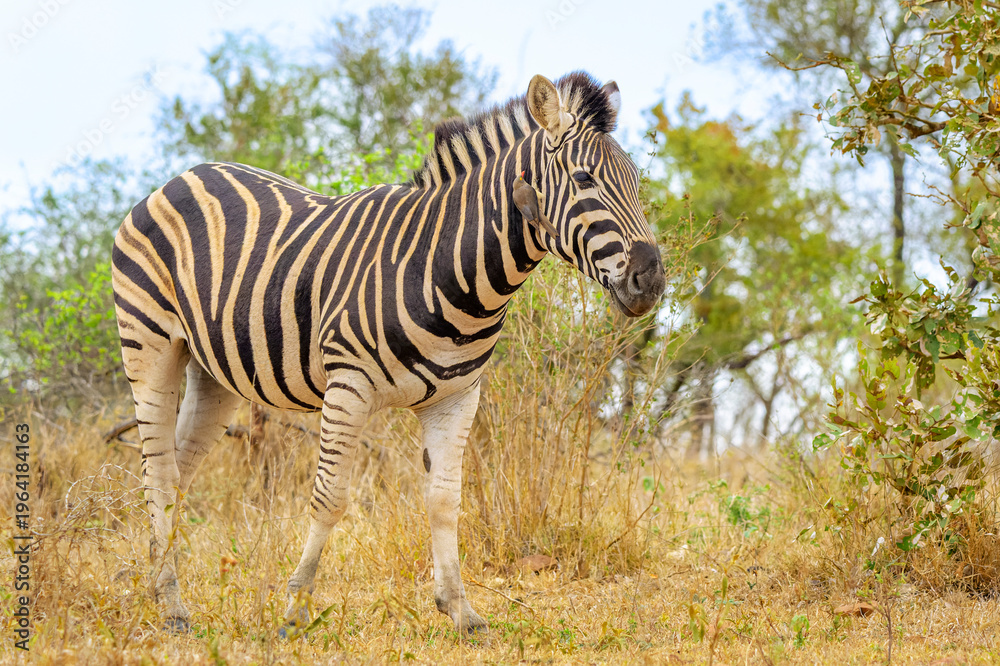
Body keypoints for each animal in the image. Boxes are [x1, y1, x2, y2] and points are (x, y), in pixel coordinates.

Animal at [111, 71, 666, 635]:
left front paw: (460, 610)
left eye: (637, 184)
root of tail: (183, 176)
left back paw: (158, 584)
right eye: (583, 180)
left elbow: (445, 501)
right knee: (157, 471)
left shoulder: (457, 397)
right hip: (149, 346)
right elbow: (330, 498)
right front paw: (295, 612)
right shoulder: (348, 385)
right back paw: (173, 607)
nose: (652, 280)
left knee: (177, 472)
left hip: (216, 371)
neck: (446, 269)